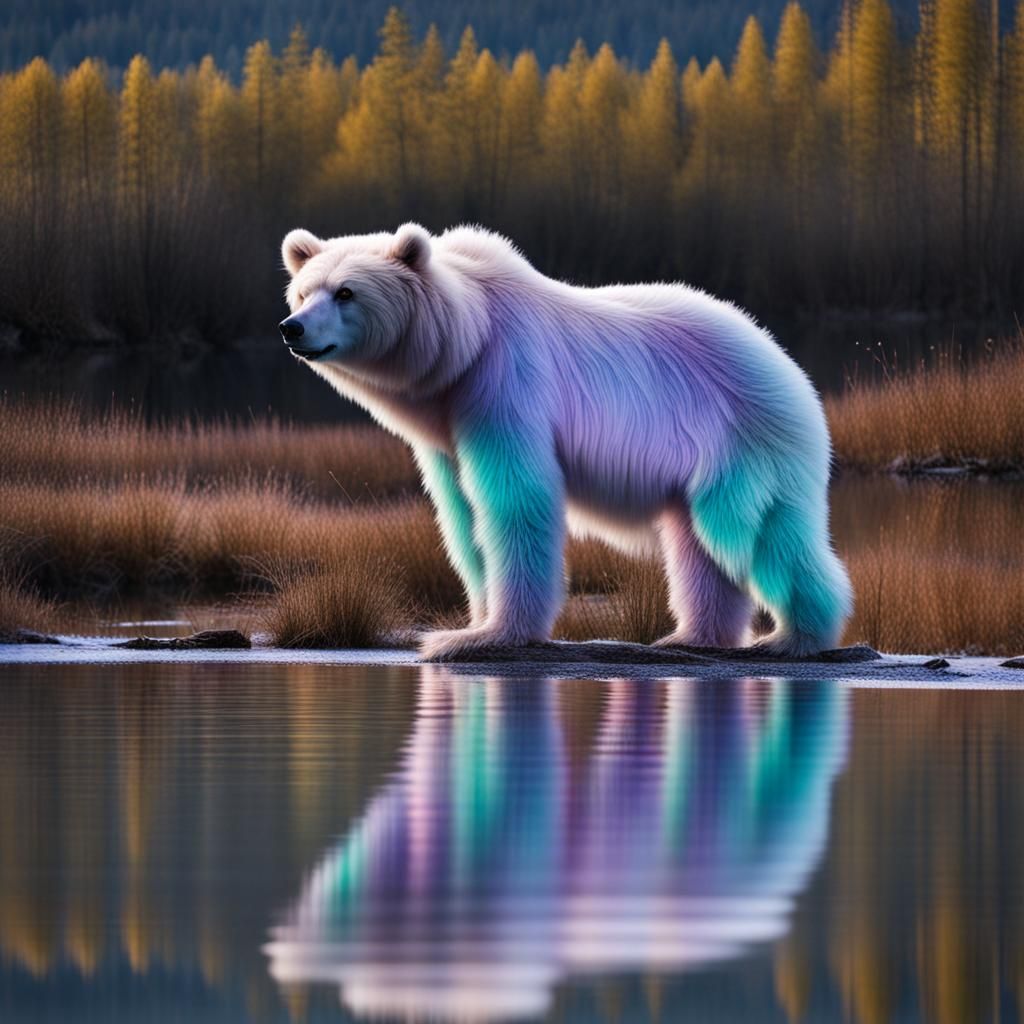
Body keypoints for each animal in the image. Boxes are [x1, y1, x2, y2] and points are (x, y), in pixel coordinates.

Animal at [278, 222, 852, 660]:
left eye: (346, 292)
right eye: (304, 292)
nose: (292, 328)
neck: (468, 341)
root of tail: (788, 367)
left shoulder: (506, 383)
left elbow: (516, 499)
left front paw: (484, 636)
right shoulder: (446, 425)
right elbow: (461, 514)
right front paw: (473, 622)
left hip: (743, 440)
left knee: (756, 534)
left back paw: (794, 637)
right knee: (700, 547)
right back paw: (692, 636)